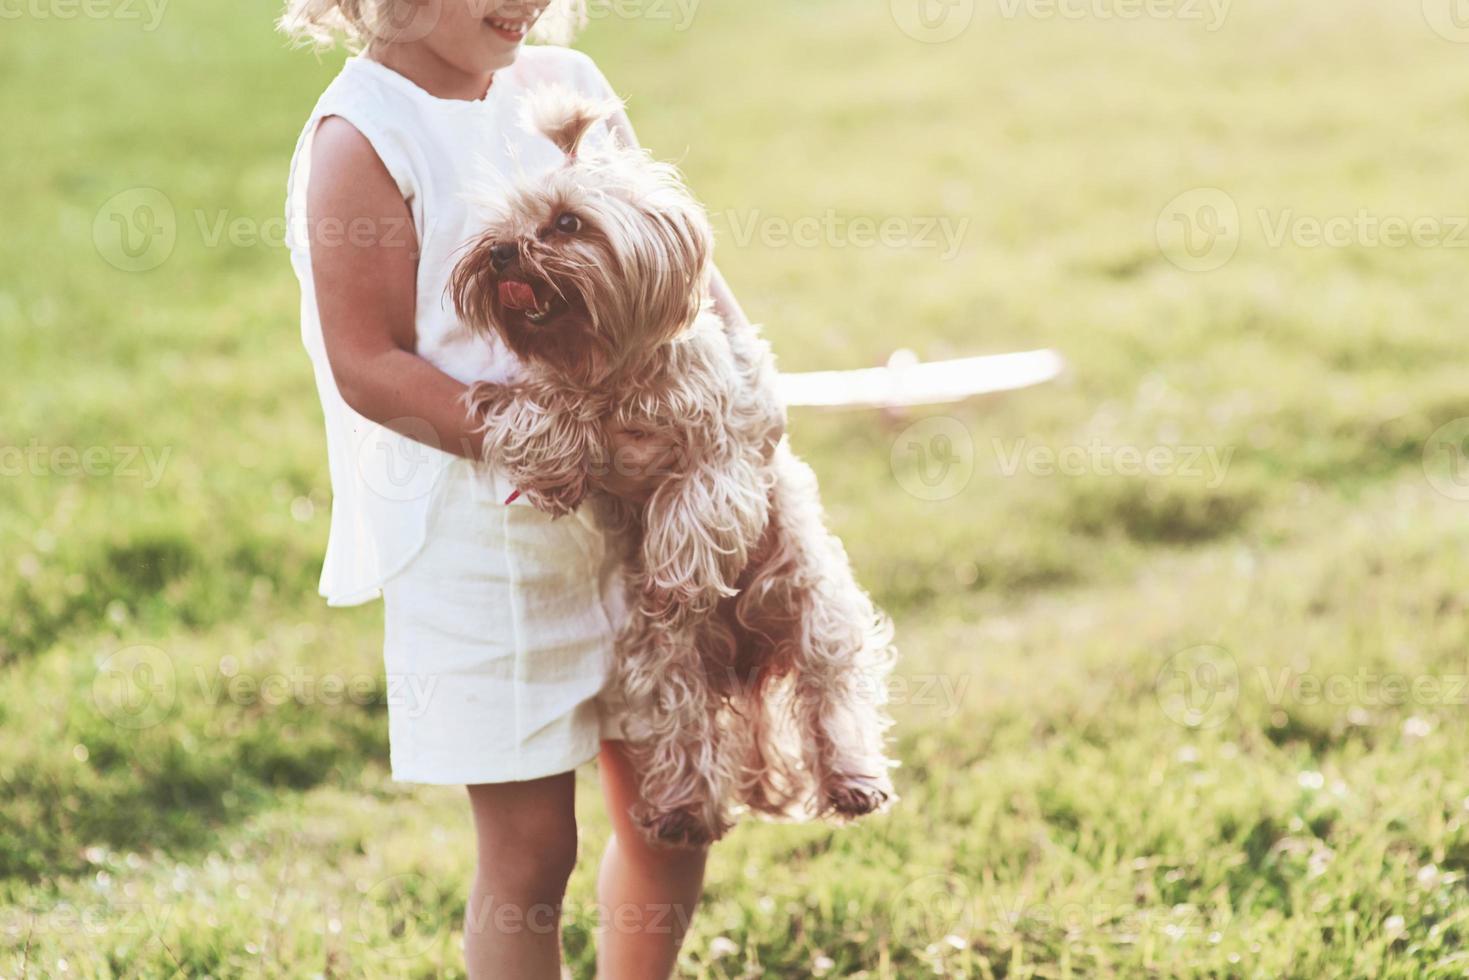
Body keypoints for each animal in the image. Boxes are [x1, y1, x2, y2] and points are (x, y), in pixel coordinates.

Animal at [449, 88, 893, 846]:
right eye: (502, 223)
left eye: (567, 223)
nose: (502, 253)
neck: (612, 370)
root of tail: (745, 664)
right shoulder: (551, 390)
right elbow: (540, 414)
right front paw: (555, 461)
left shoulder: (727, 441)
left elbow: (698, 503)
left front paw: (678, 572)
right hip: (664, 660)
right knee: (684, 726)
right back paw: (683, 810)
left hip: (816, 615)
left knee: (832, 695)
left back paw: (853, 780)